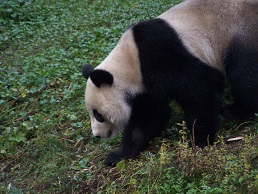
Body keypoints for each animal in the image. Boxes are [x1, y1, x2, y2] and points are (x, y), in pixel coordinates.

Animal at [82, 0, 258, 167]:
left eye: (98, 115)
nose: (97, 135)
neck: (131, 62)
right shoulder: (146, 86)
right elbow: (150, 115)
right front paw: (118, 156)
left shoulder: (162, 55)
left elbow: (199, 91)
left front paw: (198, 142)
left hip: (240, 32)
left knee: (243, 74)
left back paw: (235, 111)